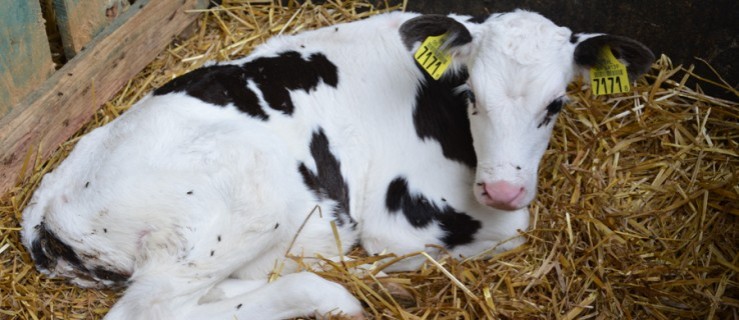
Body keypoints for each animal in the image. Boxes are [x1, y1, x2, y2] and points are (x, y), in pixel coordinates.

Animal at [20, 10, 652, 320]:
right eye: (472, 93)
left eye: (556, 103)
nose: (501, 188)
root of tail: (46, 204)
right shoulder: (403, 214)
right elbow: (510, 232)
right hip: (246, 196)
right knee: (149, 313)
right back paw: (340, 294)